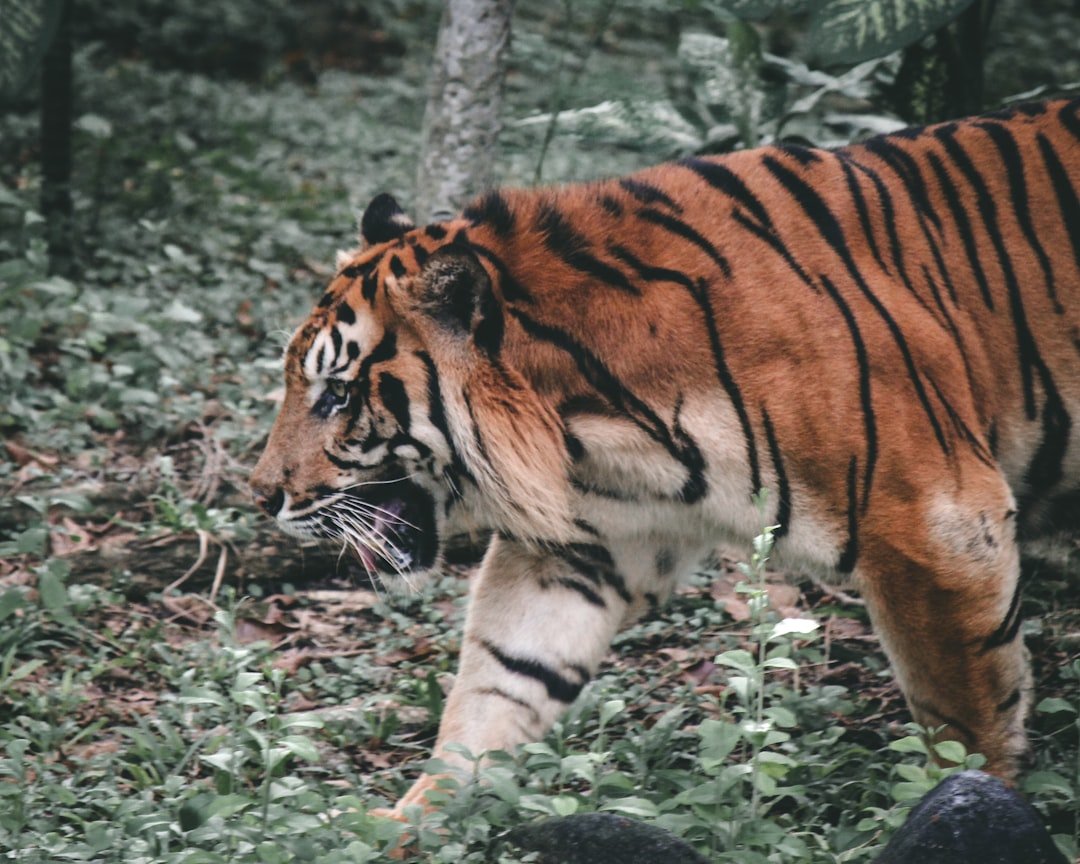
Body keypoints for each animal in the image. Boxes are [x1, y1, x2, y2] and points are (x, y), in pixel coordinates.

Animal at [250, 99, 1080, 814]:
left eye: (336, 395)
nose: (260, 495)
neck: (593, 421)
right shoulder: (586, 547)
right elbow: (501, 681)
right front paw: (410, 822)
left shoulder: (935, 524)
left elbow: (965, 719)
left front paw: (972, 803)